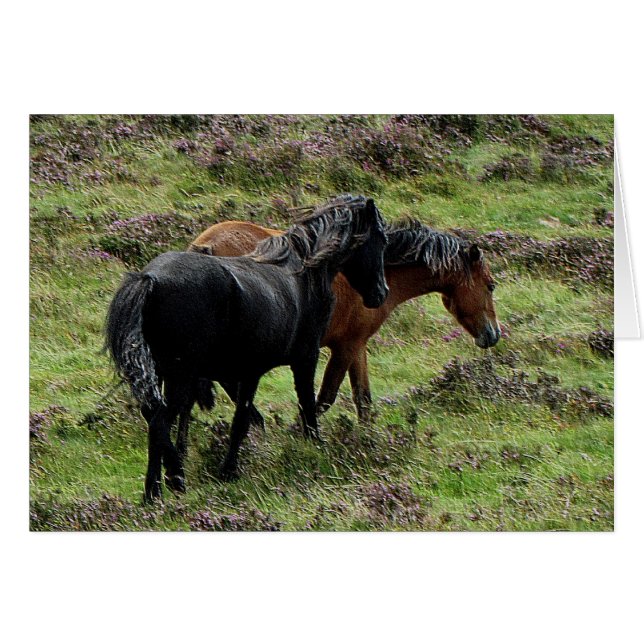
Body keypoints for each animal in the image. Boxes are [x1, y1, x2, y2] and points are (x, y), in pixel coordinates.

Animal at [105, 195, 389, 501]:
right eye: (381, 238)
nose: (380, 294)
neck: (302, 274)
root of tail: (150, 279)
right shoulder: (303, 359)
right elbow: (301, 407)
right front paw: (311, 447)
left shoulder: (248, 372)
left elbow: (244, 418)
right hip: (180, 376)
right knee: (159, 421)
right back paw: (174, 478)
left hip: (162, 374)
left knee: (154, 419)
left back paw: (155, 490)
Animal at [189, 218, 501, 424]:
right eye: (491, 285)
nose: (494, 334)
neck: (375, 269)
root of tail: (205, 247)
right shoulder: (344, 347)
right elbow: (326, 397)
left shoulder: (357, 344)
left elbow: (362, 398)